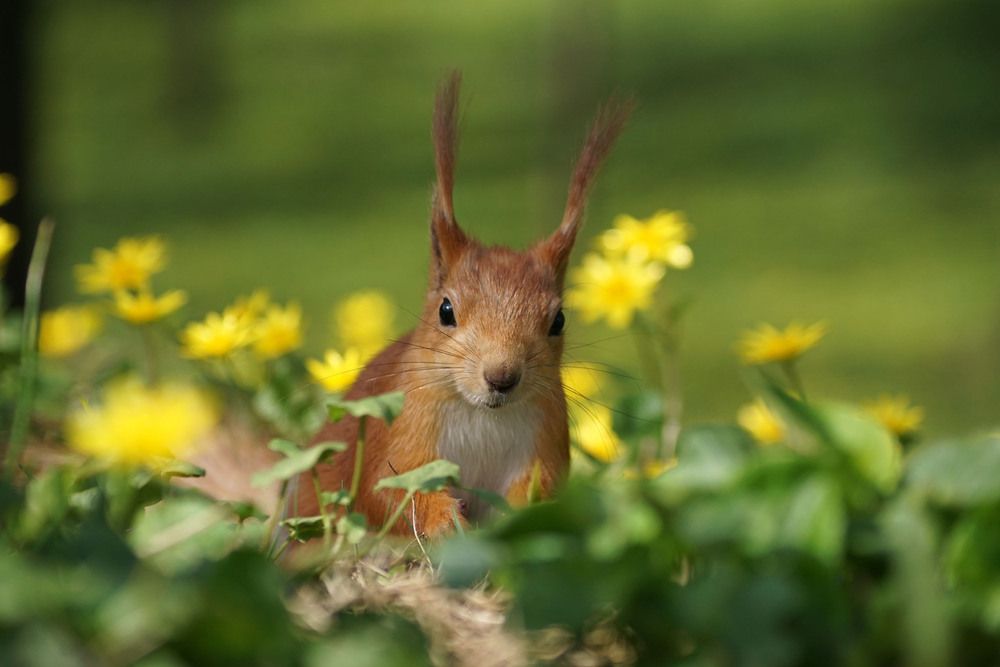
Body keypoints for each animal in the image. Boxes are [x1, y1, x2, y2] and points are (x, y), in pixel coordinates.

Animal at [296, 73, 631, 537]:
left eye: (559, 320)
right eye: (446, 311)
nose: (502, 377)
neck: (482, 416)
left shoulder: (544, 446)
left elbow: (541, 495)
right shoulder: (400, 436)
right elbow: (387, 493)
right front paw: (444, 522)